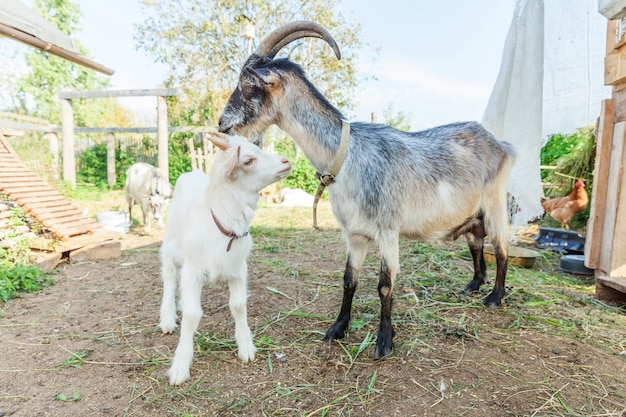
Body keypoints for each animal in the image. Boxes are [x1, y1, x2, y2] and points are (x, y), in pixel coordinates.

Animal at [157, 132, 292, 386]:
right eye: (248, 160)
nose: (286, 161)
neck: (221, 223)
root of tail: (192, 172)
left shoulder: (238, 268)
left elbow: (238, 305)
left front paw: (246, 346)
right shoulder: (192, 270)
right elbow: (192, 315)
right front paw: (180, 366)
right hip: (171, 243)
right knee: (169, 277)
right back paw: (168, 318)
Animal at [217, 21, 516, 360]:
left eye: (247, 80)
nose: (222, 123)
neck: (348, 157)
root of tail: (501, 144)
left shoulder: (388, 231)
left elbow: (384, 285)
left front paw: (384, 341)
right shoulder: (355, 234)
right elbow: (349, 280)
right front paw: (338, 328)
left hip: (495, 201)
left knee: (501, 246)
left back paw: (495, 296)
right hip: (472, 212)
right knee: (476, 241)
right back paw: (473, 285)